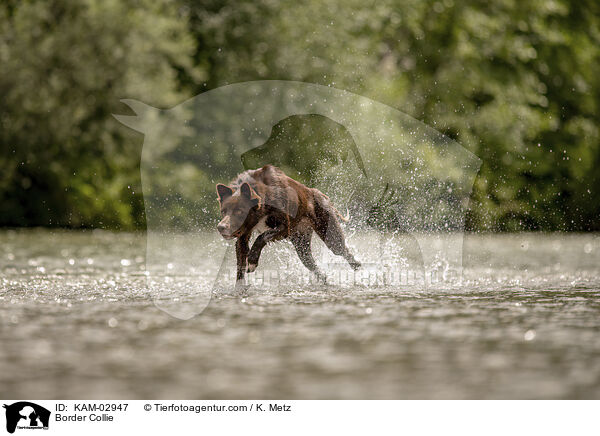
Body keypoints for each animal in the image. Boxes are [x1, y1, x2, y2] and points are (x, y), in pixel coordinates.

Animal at [219, 165, 364, 284]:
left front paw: (252, 261)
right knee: (310, 263)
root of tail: (318, 193)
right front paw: (239, 288)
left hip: (330, 236)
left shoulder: (285, 227)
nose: (221, 227)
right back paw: (324, 279)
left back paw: (360, 270)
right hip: (301, 243)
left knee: (344, 252)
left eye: (239, 211)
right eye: (223, 211)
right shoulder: (243, 235)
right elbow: (240, 264)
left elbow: (262, 237)